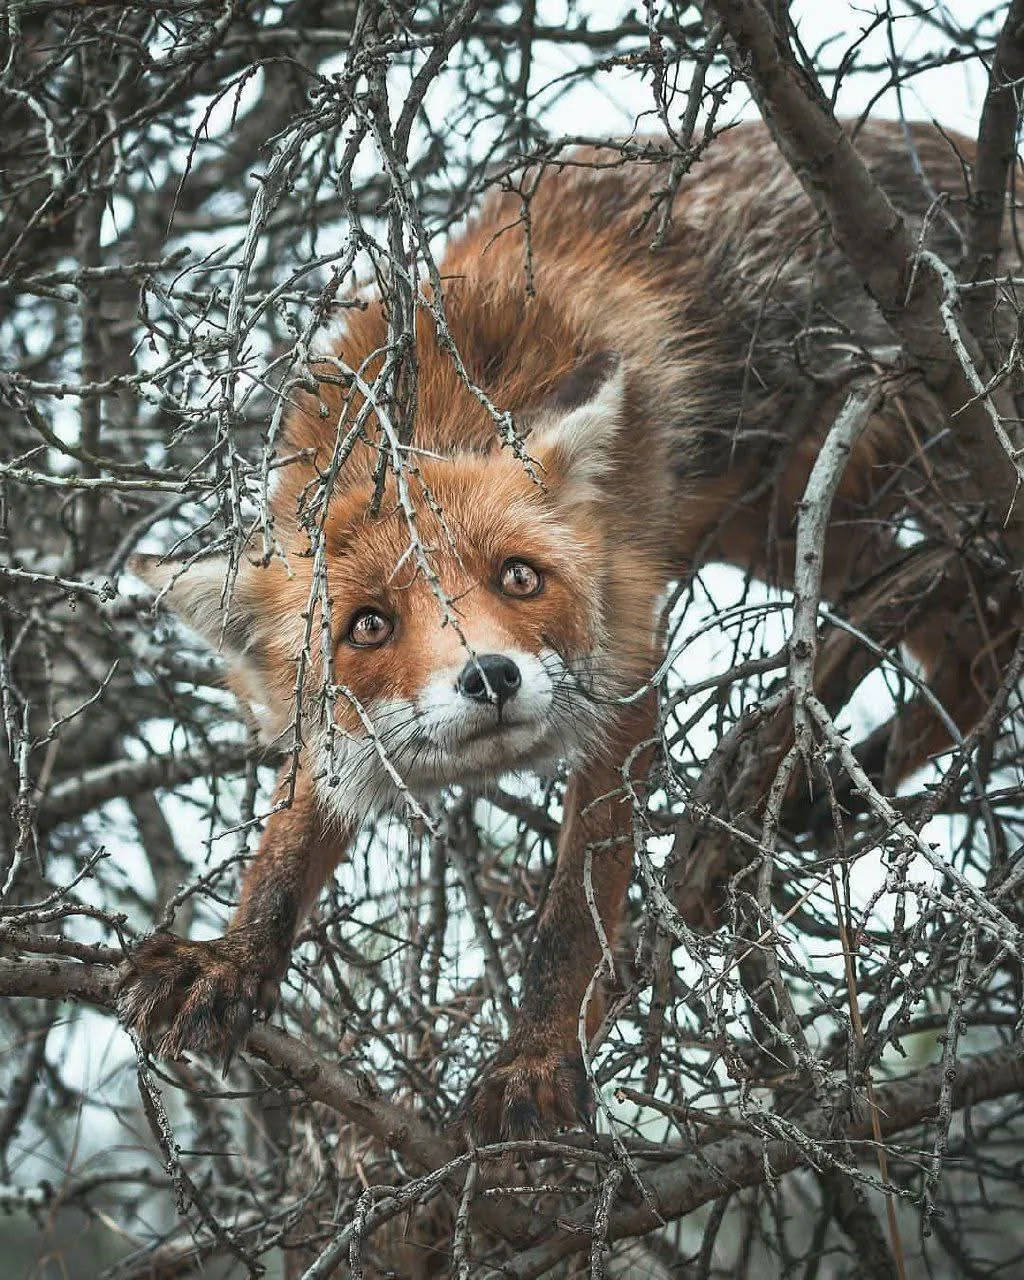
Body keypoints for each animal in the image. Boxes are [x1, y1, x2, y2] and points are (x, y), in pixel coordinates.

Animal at [119, 118, 1020, 1142]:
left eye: (520, 577)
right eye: (368, 626)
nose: (491, 678)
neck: (424, 412)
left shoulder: (624, 675)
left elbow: (570, 923)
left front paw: (537, 1057)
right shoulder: (327, 733)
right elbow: (282, 855)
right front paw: (231, 962)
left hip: (877, 485)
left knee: (975, 613)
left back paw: (798, 756)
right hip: (790, 517)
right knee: (968, 641)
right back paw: (820, 776)